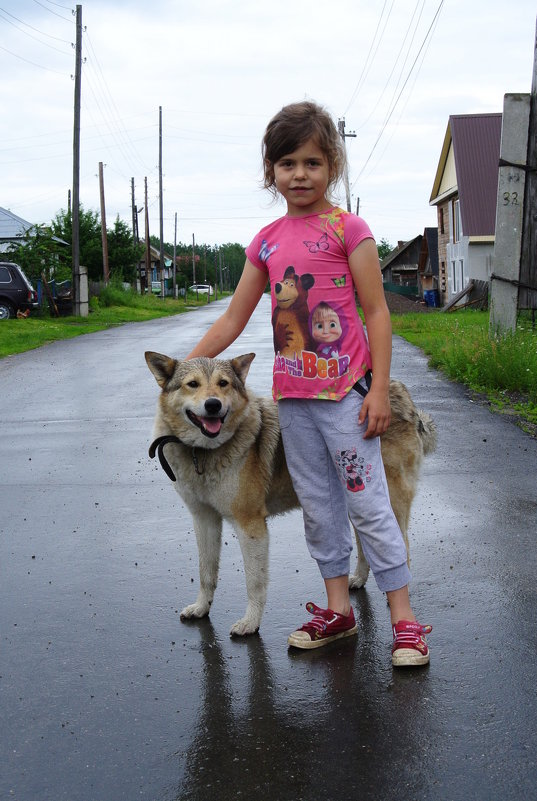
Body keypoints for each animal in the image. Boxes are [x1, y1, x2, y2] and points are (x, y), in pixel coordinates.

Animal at [146, 354, 436, 636]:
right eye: (192, 384)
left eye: (223, 383)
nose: (213, 405)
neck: (202, 453)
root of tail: (402, 394)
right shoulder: (204, 519)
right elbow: (206, 572)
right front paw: (201, 608)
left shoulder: (250, 526)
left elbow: (254, 581)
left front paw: (251, 622)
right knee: (365, 545)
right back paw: (358, 580)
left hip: (387, 504)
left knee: (400, 548)